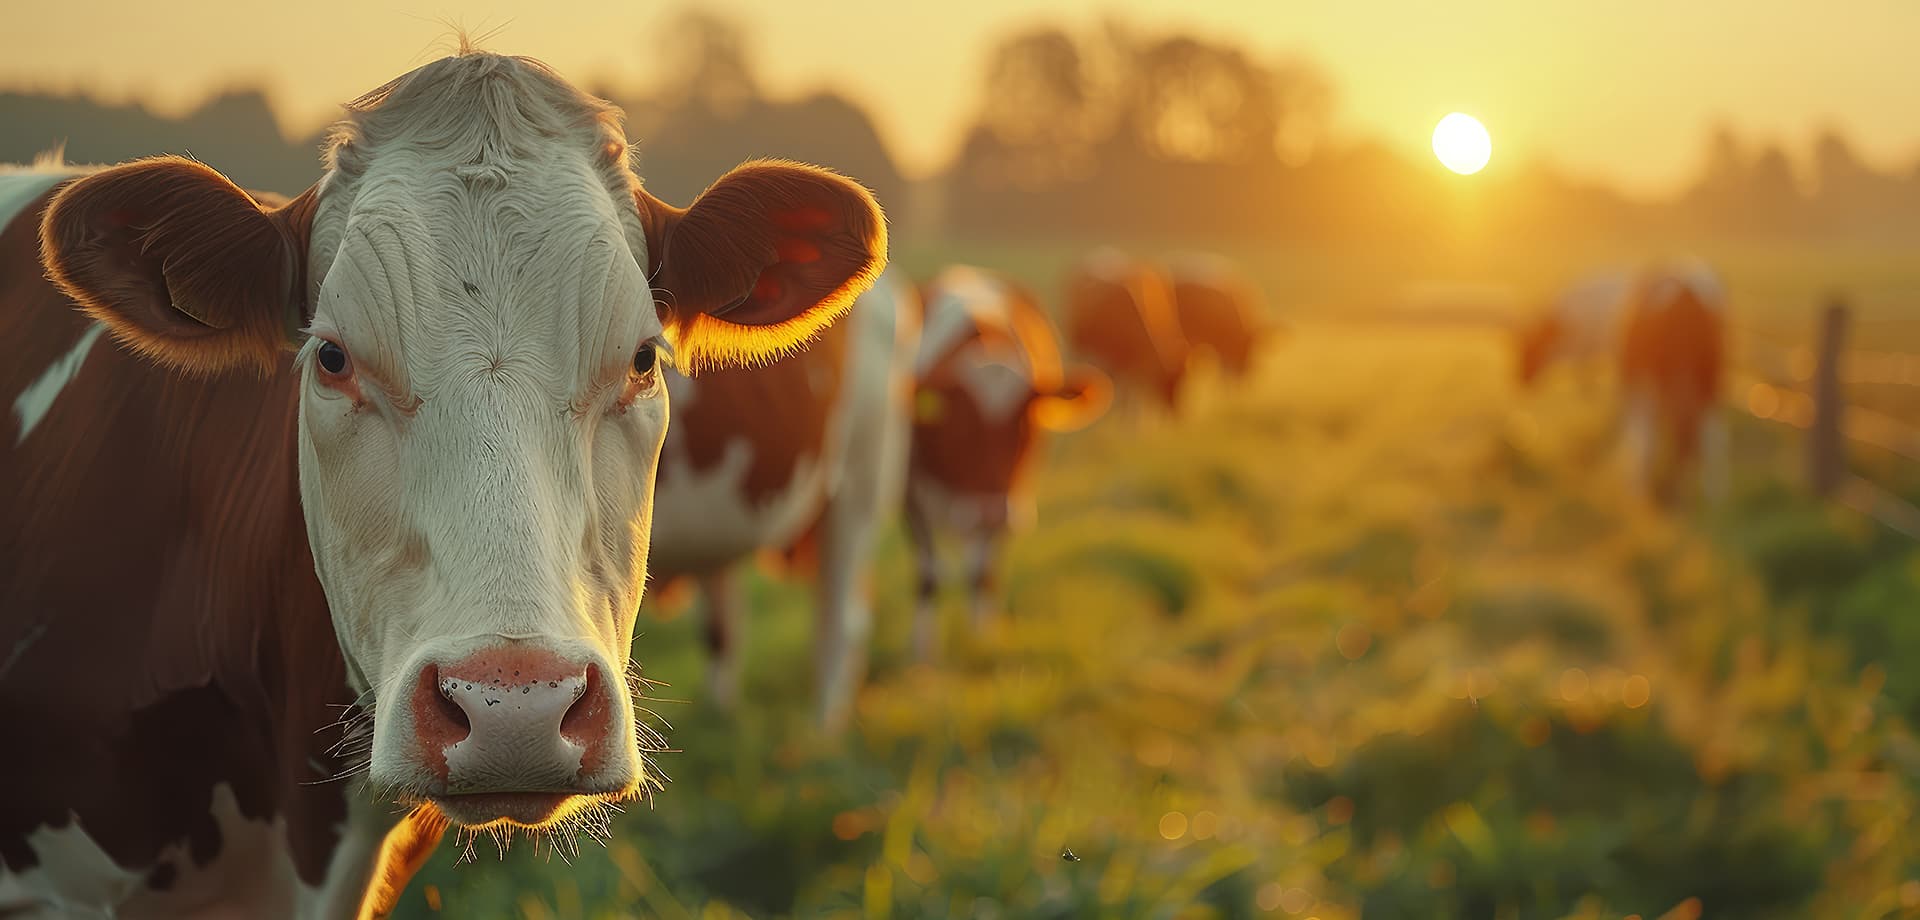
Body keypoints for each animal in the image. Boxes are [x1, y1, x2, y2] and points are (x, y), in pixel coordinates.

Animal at [906, 266, 1109, 659]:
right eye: (958, 420)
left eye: (1025, 421)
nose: (992, 512)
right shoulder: (910, 495)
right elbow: (928, 574)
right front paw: (924, 657)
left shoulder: (1008, 495)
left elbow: (983, 573)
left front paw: (982, 641)